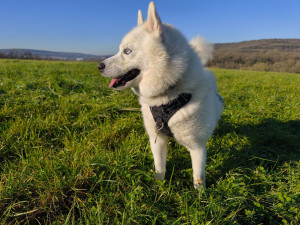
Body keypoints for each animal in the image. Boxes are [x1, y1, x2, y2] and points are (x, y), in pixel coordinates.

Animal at [98, 1, 223, 189]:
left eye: (127, 51)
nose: (99, 66)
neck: (168, 96)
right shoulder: (157, 140)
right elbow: (159, 167)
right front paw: (158, 187)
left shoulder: (198, 147)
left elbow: (198, 177)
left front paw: (201, 196)